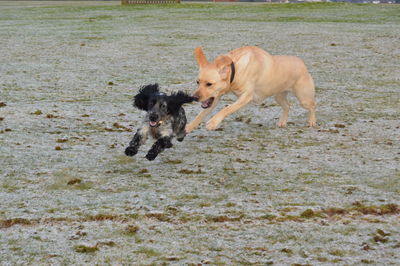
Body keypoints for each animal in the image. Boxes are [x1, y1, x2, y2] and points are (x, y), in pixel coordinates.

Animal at [186, 46, 318, 133]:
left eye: (209, 84)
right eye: (197, 82)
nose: (194, 97)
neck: (235, 70)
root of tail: (302, 63)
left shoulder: (246, 97)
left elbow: (227, 109)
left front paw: (213, 123)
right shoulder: (216, 98)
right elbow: (201, 114)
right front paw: (188, 127)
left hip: (304, 98)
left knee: (312, 106)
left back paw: (312, 121)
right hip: (278, 95)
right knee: (287, 106)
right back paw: (282, 122)